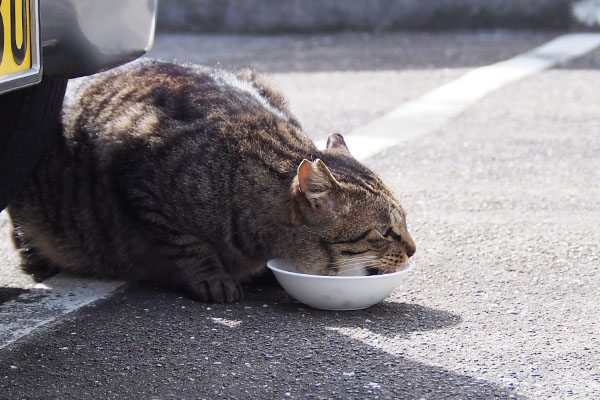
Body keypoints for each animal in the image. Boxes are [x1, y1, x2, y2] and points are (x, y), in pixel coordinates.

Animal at [7, 60, 414, 304]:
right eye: (384, 232)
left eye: (406, 223)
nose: (412, 249)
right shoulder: (140, 174)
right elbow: (186, 244)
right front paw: (213, 278)